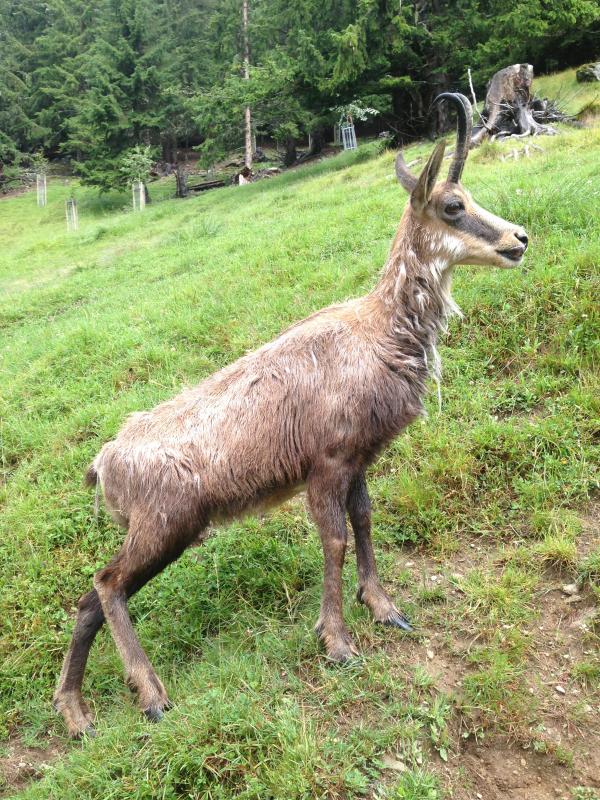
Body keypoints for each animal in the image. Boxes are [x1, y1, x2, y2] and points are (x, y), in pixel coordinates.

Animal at [54, 93, 528, 738]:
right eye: (454, 205)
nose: (519, 238)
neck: (380, 335)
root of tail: (103, 464)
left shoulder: (358, 458)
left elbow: (363, 519)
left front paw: (384, 608)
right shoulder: (326, 460)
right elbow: (333, 538)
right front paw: (338, 643)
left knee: (88, 599)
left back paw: (76, 713)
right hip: (166, 522)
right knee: (106, 585)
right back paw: (151, 694)